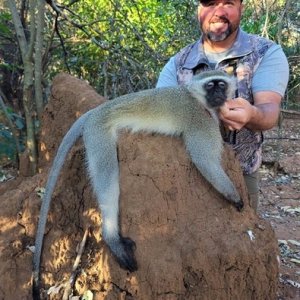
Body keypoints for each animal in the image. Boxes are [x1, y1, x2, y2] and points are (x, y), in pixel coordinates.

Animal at [32, 69, 244, 298]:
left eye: (221, 85)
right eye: (210, 85)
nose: (218, 95)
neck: (196, 98)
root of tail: (96, 111)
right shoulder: (200, 121)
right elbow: (205, 161)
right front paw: (235, 198)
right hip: (98, 134)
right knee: (108, 181)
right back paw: (112, 238)